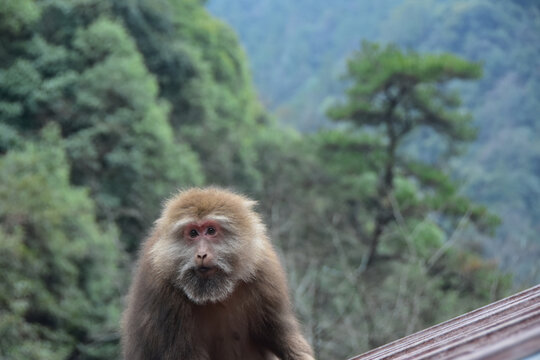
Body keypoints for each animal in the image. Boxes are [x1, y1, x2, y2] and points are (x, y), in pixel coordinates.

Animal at [121, 187, 316, 358]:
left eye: (211, 230)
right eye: (193, 233)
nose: (201, 254)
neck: (216, 294)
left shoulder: (264, 272)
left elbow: (282, 337)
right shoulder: (161, 292)